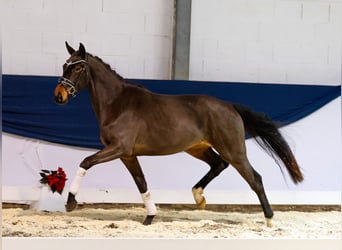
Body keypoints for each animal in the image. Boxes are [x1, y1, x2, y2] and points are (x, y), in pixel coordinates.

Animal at [54, 42, 304, 227]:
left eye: (78, 68)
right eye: (64, 65)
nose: (59, 96)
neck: (117, 103)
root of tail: (230, 106)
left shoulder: (118, 148)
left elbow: (86, 162)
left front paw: (71, 201)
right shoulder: (128, 155)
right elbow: (141, 183)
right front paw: (150, 217)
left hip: (233, 151)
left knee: (255, 178)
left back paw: (269, 219)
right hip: (198, 148)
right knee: (218, 165)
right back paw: (198, 197)